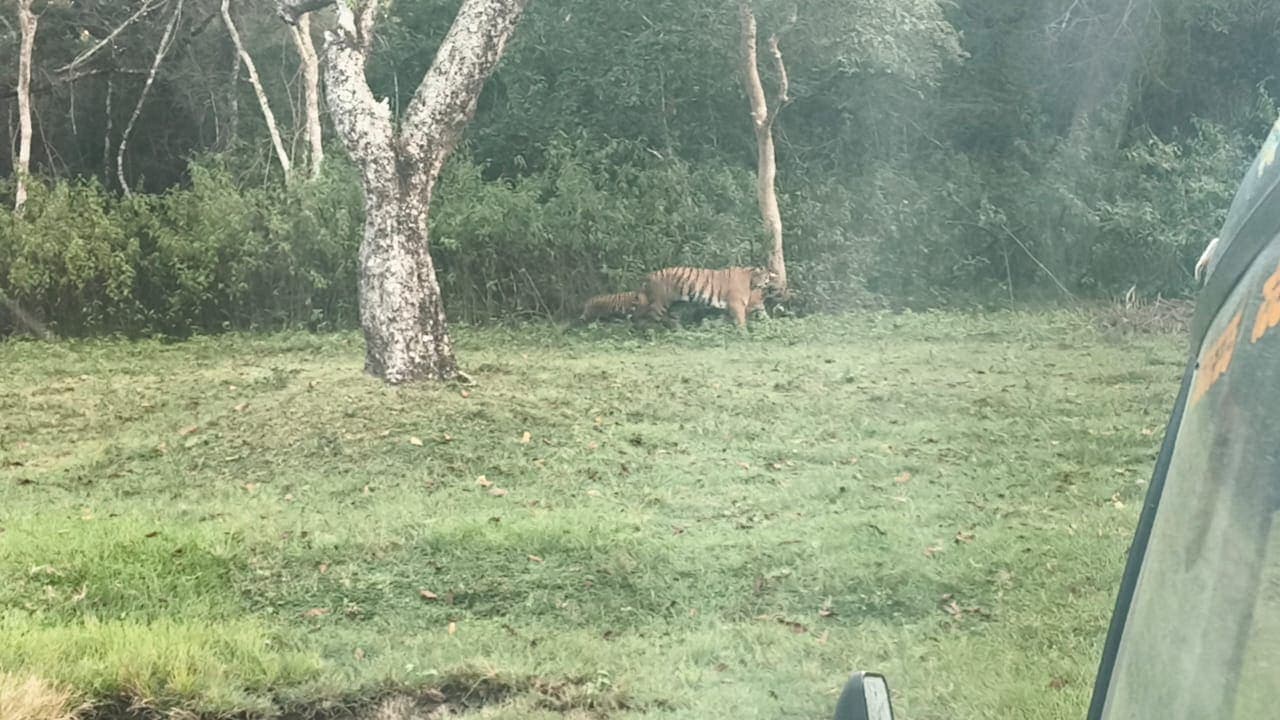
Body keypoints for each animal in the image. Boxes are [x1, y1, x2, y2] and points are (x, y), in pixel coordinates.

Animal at [640, 266, 774, 328]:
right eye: (765, 277)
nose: (768, 283)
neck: (751, 281)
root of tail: (650, 275)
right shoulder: (736, 304)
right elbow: (741, 322)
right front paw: (744, 334)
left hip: (675, 304)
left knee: (670, 318)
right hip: (659, 303)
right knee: (649, 318)